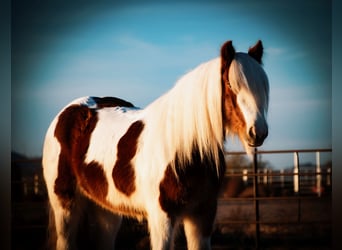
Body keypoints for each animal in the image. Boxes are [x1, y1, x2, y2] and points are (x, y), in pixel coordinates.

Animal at [42, 40, 270, 249]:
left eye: (263, 88)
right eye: (231, 85)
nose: (258, 132)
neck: (184, 149)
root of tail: (68, 111)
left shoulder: (203, 214)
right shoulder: (162, 217)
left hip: (106, 210)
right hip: (65, 203)